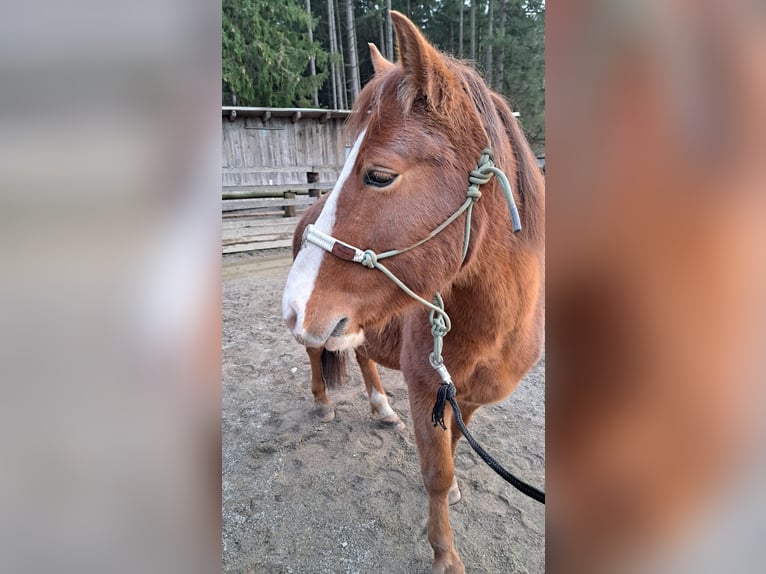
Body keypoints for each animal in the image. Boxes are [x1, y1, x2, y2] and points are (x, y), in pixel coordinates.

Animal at [284, 13, 544, 574]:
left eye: (379, 175)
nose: (292, 307)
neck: (493, 329)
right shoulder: (429, 387)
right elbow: (436, 474)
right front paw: (444, 553)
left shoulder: (466, 397)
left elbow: (456, 448)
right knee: (317, 356)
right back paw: (323, 404)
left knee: (360, 355)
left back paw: (381, 408)